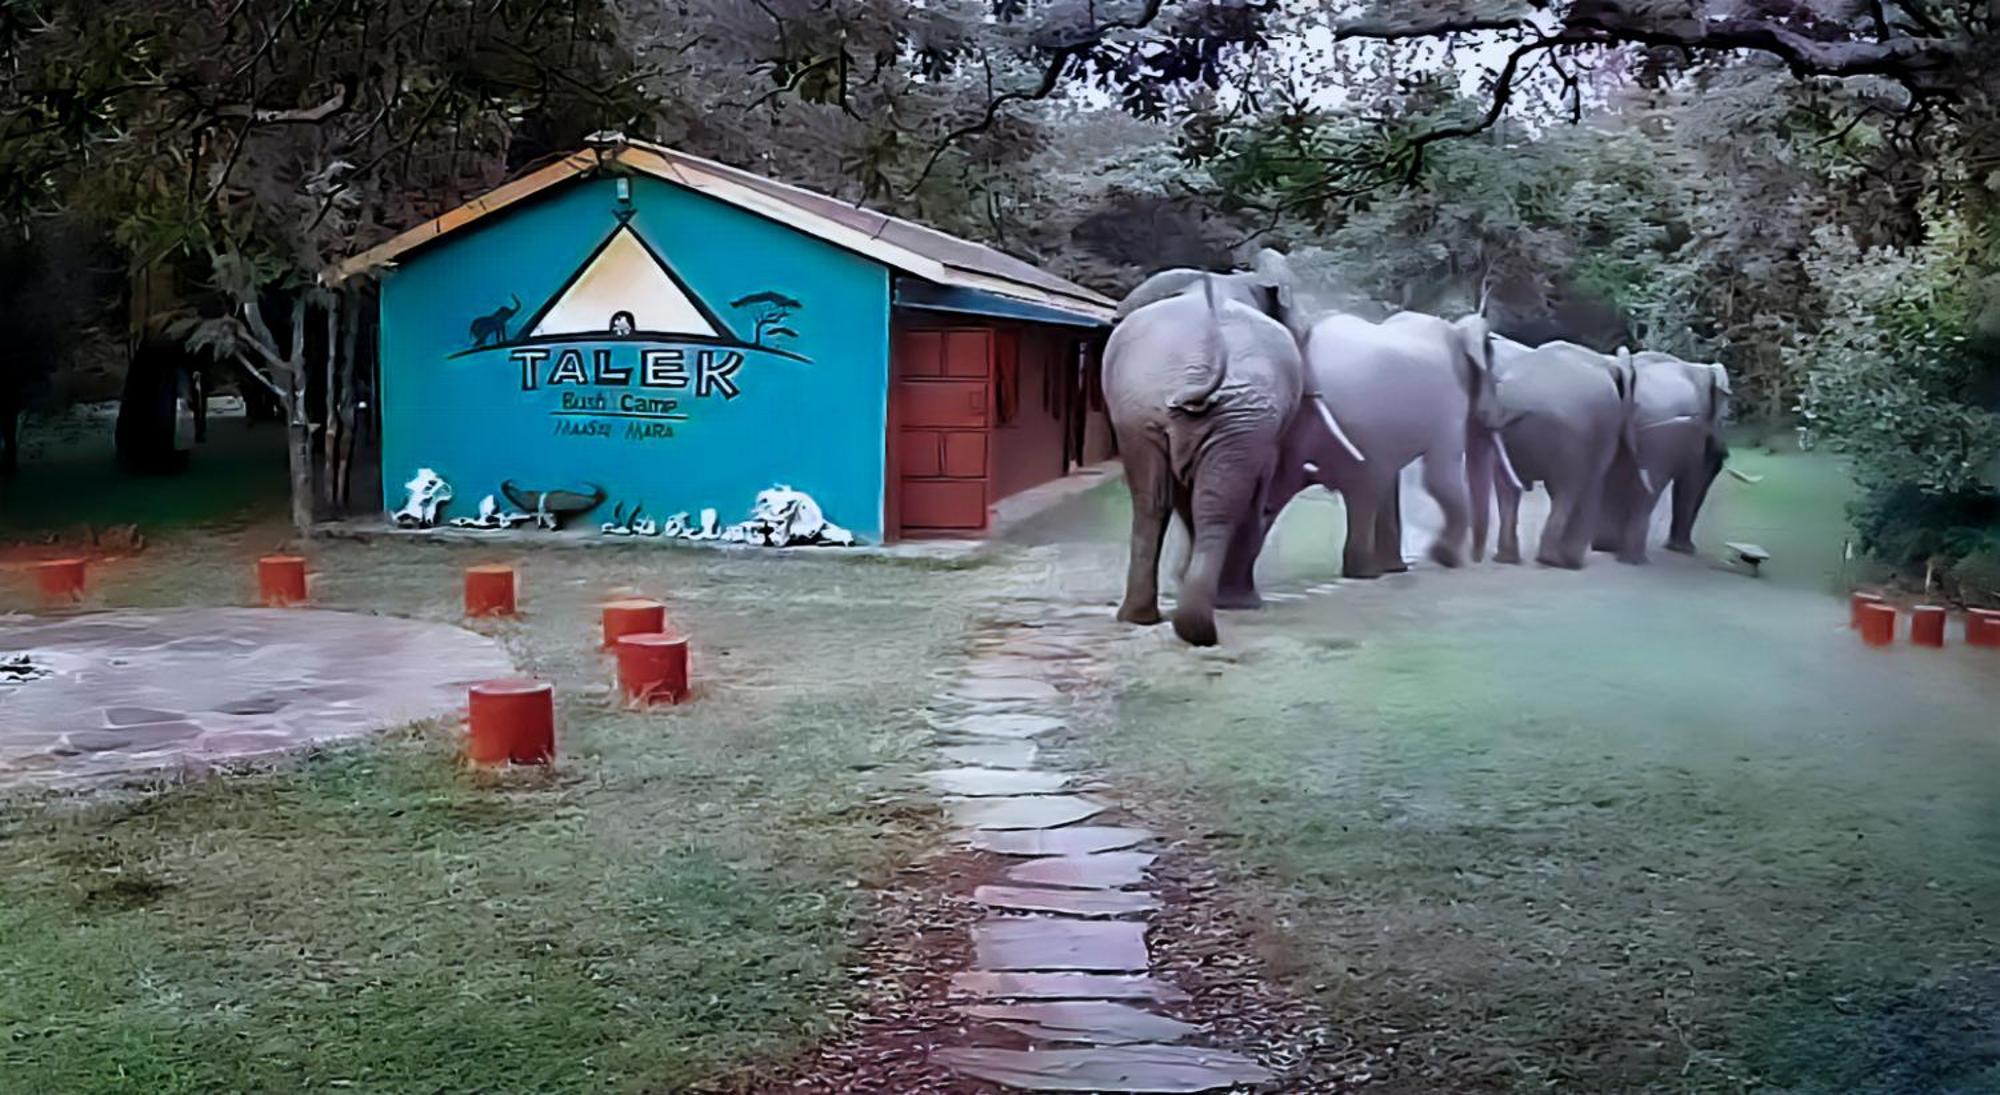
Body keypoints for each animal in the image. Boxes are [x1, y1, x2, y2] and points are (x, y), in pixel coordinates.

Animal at [1104, 249, 1304, 643]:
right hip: (1228, 419)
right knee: (1209, 503)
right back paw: (1215, 613)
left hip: (1150, 412)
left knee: (1158, 501)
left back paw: (1150, 619)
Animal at [1264, 309, 1504, 583]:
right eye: (1497, 381)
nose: (1476, 561)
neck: (1457, 331)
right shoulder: (1450, 406)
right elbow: (1438, 479)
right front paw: (1446, 558)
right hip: (1355, 427)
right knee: (1364, 490)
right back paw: (1366, 574)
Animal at [1472, 337, 1640, 567]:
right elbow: (1594, 479)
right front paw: (1574, 562)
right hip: (1571, 437)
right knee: (1569, 487)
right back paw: (1559, 561)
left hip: (1507, 432)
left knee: (1508, 487)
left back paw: (1508, 558)